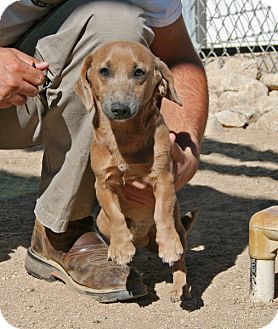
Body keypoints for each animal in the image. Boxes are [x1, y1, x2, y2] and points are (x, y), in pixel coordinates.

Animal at [75, 40, 195, 300]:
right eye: (104, 71)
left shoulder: (164, 179)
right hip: (100, 222)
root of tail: (143, 240)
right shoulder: (102, 184)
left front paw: (168, 244)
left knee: (180, 263)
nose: (119, 109)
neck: (125, 137)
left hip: (181, 230)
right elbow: (116, 215)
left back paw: (179, 286)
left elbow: (162, 213)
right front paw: (121, 247)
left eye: (139, 72)